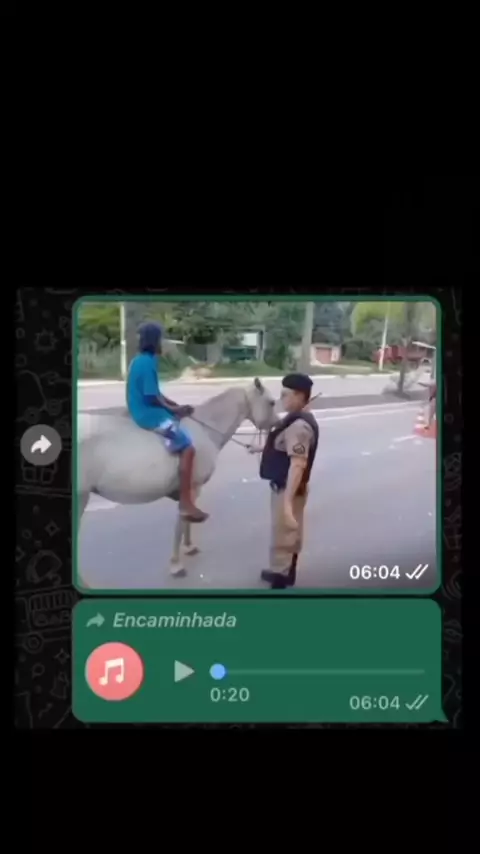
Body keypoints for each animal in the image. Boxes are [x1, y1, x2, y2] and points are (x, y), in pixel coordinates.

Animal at [76, 378, 278, 585]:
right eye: (271, 402)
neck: (205, 429)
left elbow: (186, 522)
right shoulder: (193, 488)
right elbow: (182, 521)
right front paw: (176, 564)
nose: (277, 424)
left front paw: (189, 547)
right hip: (80, 497)